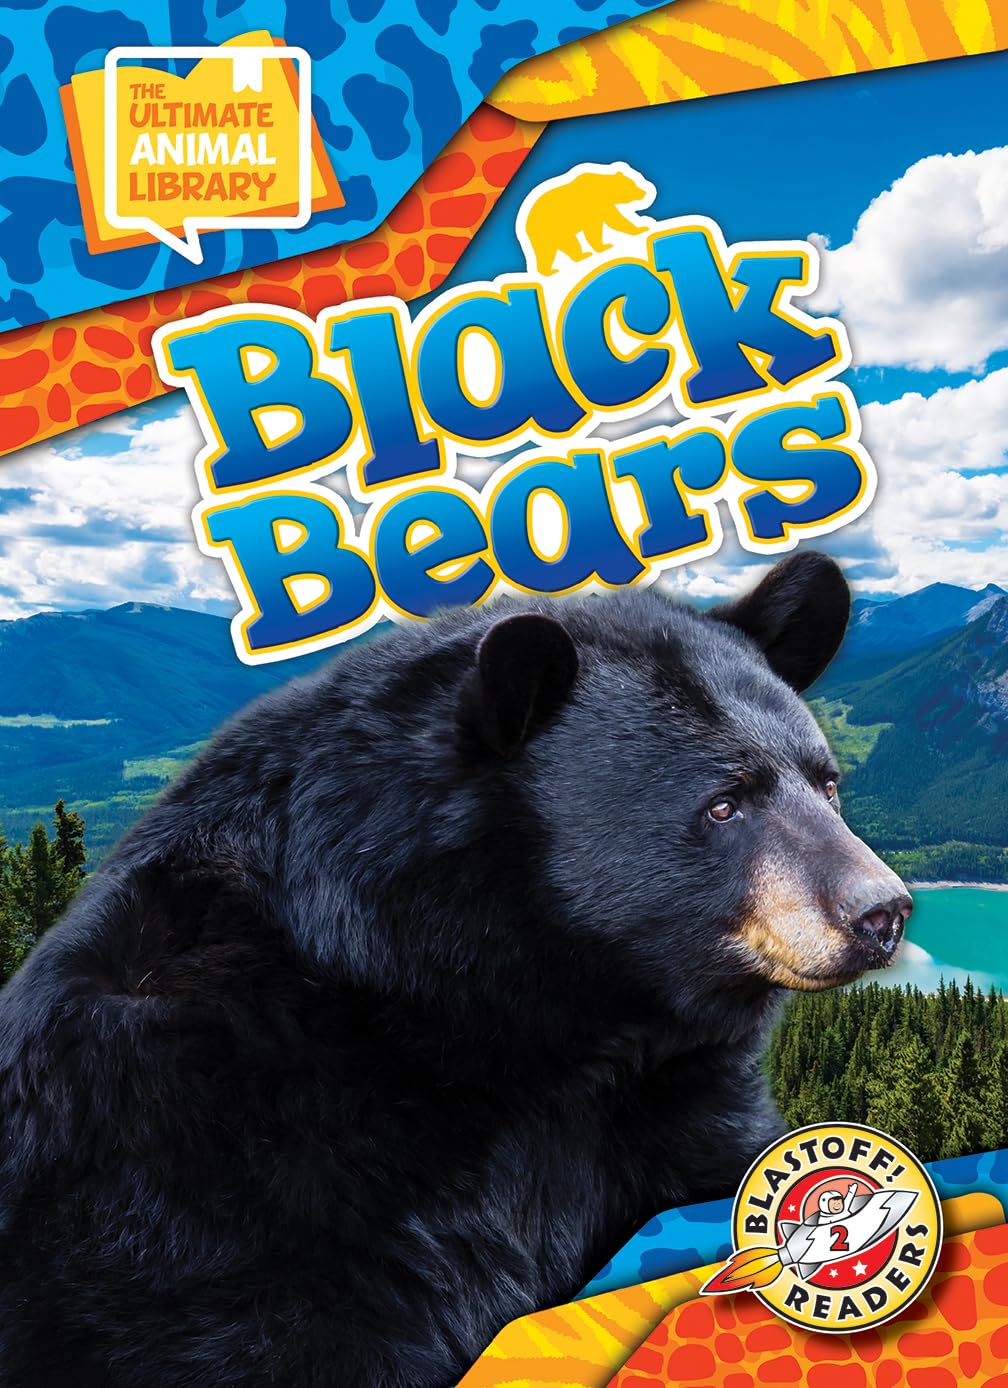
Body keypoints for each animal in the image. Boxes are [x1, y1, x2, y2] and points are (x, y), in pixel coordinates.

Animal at [520, 164, 651, 275]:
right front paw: (605, 246)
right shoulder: (593, 207)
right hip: (554, 229)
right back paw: (582, 255)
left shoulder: (603, 206)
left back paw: (548, 270)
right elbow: (598, 227)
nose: (644, 192)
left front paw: (641, 228)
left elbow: (613, 220)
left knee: (547, 252)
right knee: (567, 243)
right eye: (632, 184)